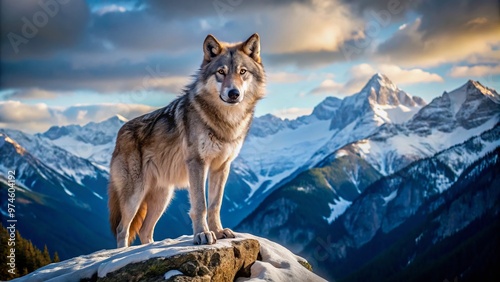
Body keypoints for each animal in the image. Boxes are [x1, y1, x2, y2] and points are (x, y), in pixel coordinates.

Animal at [107, 33, 266, 247]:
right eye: (221, 72)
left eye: (242, 72)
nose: (234, 93)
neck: (226, 121)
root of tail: (120, 133)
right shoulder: (197, 163)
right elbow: (201, 205)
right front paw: (202, 235)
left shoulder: (221, 166)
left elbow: (215, 204)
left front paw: (219, 231)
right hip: (135, 196)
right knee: (122, 229)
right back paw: (123, 253)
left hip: (163, 198)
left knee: (144, 230)